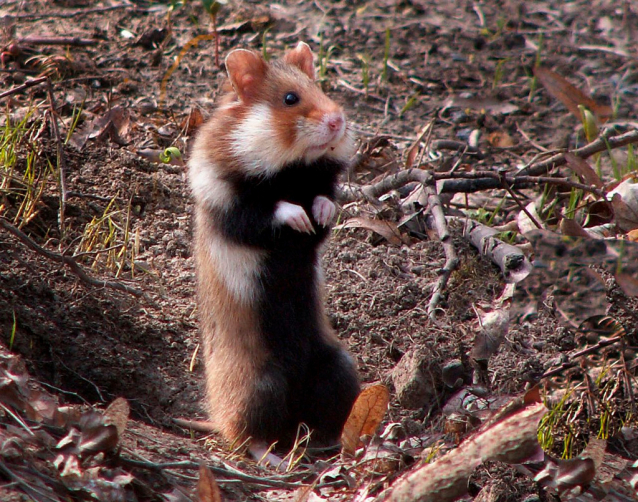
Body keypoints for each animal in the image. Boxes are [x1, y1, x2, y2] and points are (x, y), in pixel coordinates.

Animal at [188, 43, 362, 456]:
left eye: (319, 87)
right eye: (289, 99)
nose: (338, 120)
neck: (289, 167)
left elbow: (324, 203)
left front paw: (319, 211)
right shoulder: (229, 205)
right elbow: (269, 210)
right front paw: (298, 216)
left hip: (338, 367)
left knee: (324, 416)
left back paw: (332, 443)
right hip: (259, 385)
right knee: (246, 435)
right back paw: (273, 457)